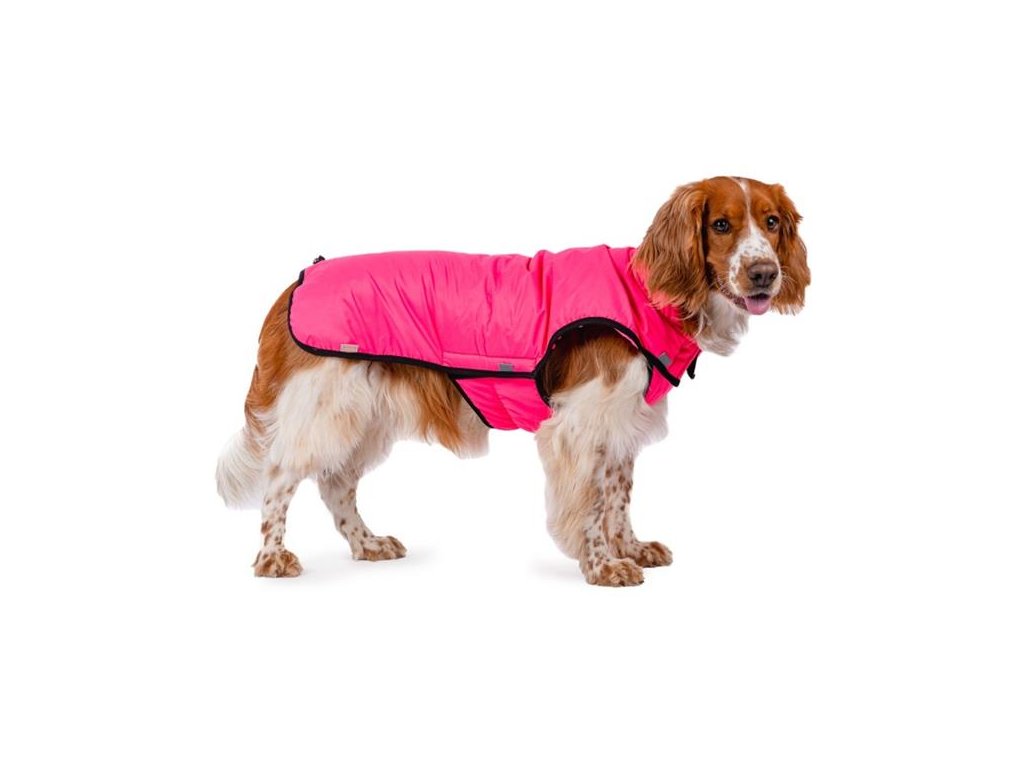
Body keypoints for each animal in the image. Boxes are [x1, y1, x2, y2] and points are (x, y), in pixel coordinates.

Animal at [216, 176, 809, 586]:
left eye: (772, 222)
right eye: (721, 225)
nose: (764, 274)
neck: (649, 293)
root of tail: (297, 281)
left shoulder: (620, 424)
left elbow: (618, 497)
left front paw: (631, 547)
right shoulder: (580, 426)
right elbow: (593, 506)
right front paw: (603, 566)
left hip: (366, 415)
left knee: (336, 484)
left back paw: (368, 544)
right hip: (327, 407)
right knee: (280, 477)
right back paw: (272, 557)